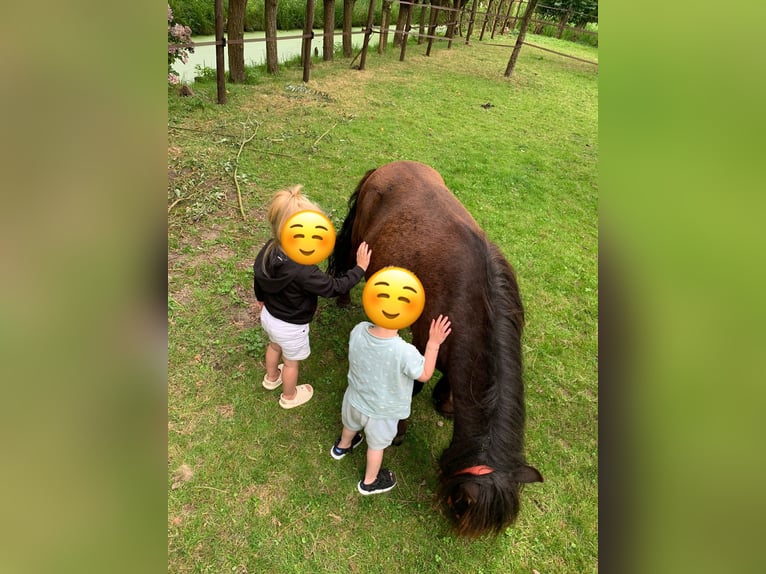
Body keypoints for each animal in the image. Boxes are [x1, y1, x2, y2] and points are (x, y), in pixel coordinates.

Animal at [330, 161, 544, 540]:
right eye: (457, 508)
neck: (470, 303)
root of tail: (388, 166)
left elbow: (449, 381)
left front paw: (445, 403)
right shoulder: (419, 343)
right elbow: (412, 387)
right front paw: (399, 432)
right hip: (359, 240)